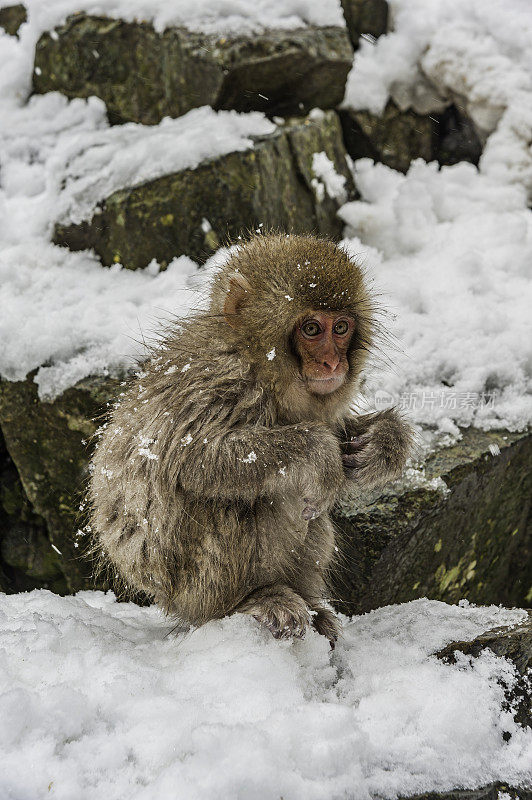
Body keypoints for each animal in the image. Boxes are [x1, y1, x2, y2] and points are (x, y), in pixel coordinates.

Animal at [89, 236, 412, 644]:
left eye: (340, 327)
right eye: (311, 329)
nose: (332, 364)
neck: (260, 364)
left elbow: (340, 433)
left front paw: (384, 443)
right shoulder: (218, 379)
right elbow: (192, 459)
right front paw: (319, 451)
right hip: (192, 587)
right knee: (237, 502)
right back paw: (251, 600)